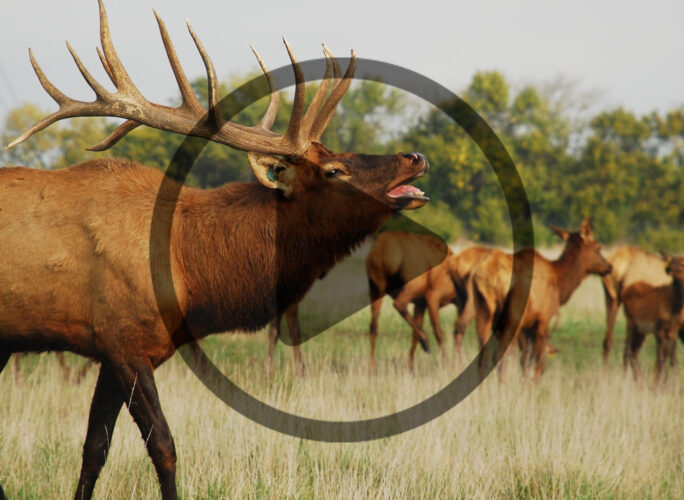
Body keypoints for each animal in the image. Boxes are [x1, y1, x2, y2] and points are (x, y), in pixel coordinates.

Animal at [0, 3, 430, 499]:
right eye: (335, 170)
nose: (415, 156)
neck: (192, 274)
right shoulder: (125, 340)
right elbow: (163, 447)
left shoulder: (111, 351)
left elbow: (94, 451)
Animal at [485, 218, 612, 382]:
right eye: (598, 247)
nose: (609, 267)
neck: (560, 285)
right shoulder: (542, 320)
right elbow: (539, 363)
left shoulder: (526, 327)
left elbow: (525, 361)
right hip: (511, 319)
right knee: (501, 355)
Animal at [621, 253, 684, 384]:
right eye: (674, 277)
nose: (669, 268)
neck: (674, 310)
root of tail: (625, 291)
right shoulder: (659, 329)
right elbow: (660, 359)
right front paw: (659, 384)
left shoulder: (674, 331)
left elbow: (673, 360)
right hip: (631, 322)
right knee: (627, 351)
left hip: (641, 331)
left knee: (633, 351)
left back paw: (640, 382)